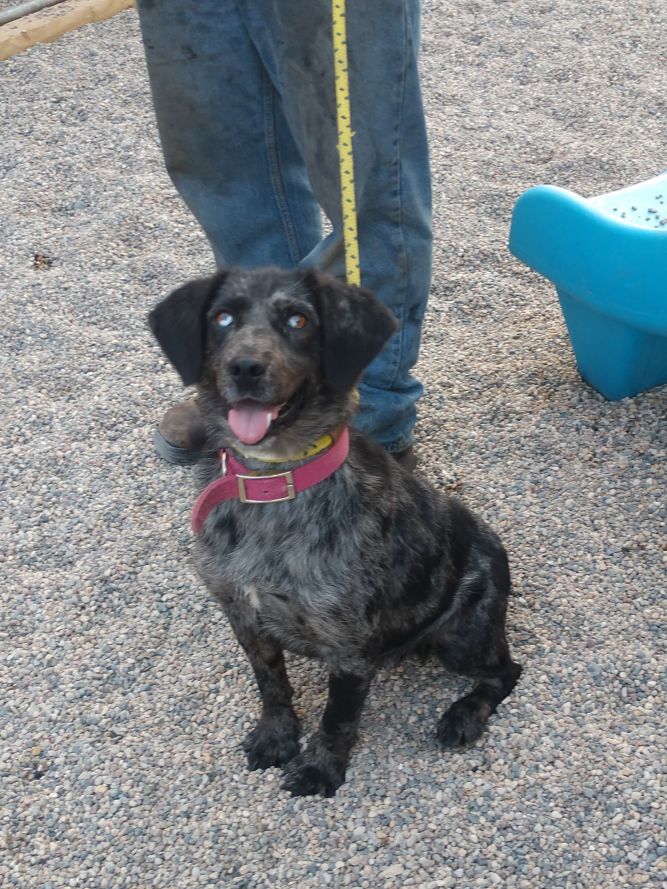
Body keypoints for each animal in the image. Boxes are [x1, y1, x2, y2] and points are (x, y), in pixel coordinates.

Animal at [149, 266, 521, 797]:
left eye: (298, 320)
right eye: (222, 318)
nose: (245, 367)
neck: (274, 485)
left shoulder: (347, 649)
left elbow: (337, 717)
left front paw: (321, 769)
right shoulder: (244, 616)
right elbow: (271, 685)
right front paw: (276, 735)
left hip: (463, 636)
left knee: (507, 670)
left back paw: (463, 714)